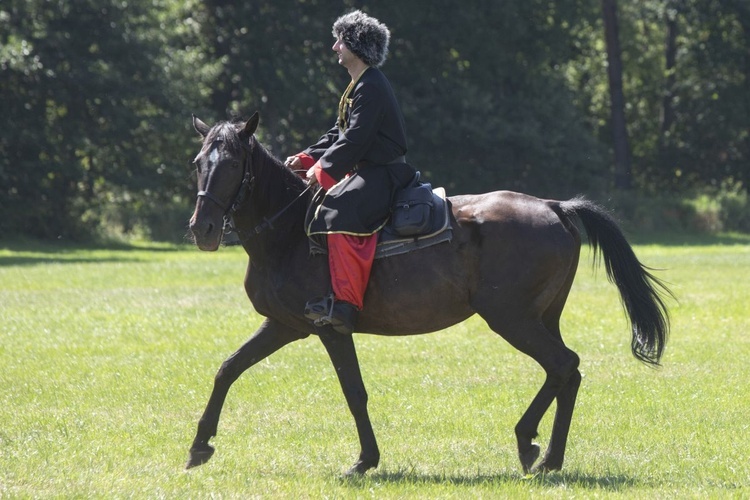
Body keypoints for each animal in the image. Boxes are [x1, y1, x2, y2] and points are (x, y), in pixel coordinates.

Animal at [185, 112, 672, 476]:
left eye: (233, 165)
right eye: (198, 162)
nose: (202, 228)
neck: (288, 231)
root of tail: (555, 206)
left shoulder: (330, 328)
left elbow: (354, 391)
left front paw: (365, 460)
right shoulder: (284, 325)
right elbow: (228, 369)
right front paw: (199, 445)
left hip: (512, 318)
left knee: (563, 364)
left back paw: (528, 443)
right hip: (541, 318)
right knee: (567, 373)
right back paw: (549, 457)